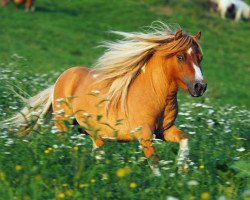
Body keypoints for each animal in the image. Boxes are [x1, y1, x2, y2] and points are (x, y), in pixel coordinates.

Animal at [2, 23, 207, 176]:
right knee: (62, 144)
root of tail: (61, 79)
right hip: (63, 123)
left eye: (200, 57)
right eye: (180, 57)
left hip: (90, 130)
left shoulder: (164, 131)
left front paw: (182, 170)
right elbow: (155, 163)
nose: (200, 86)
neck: (155, 95)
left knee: (97, 150)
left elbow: (184, 139)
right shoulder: (144, 135)